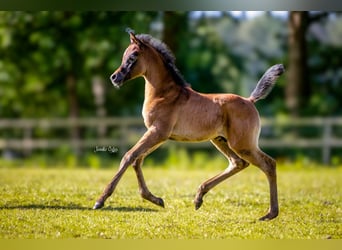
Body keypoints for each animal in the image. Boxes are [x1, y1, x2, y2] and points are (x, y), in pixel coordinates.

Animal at [93, 31, 284, 221]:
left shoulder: (158, 132)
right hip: (220, 140)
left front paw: (100, 201)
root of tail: (249, 100)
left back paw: (270, 213)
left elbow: (128, 156)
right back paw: (199, 197)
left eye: (133, 56)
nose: (114, 78)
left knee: (269, 164)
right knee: (238, 163)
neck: (163, 94)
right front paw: (155, 199)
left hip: (243, 144)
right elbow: (137, 160)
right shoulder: (159, 135)